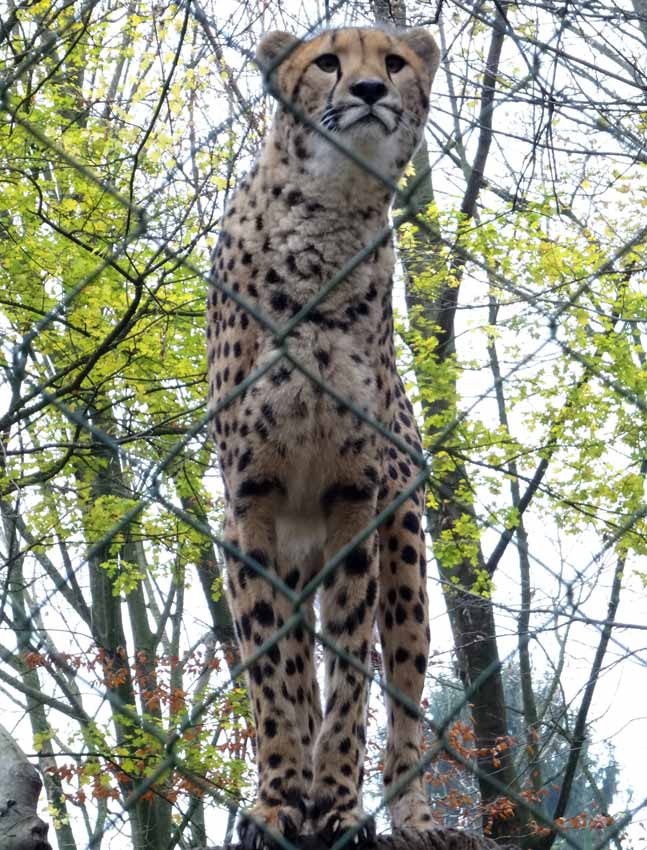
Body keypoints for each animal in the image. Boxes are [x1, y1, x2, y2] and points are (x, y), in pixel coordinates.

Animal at [208, 23, 440, 848]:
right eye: (327, 62)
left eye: (393, 62)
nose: (369, 91)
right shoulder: (251, 501)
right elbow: (275, 677)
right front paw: (280, 797)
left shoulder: (352, 499)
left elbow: (350, 676)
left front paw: (337, 801)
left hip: (402, 552)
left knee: (402, 688)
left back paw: (413, 816)